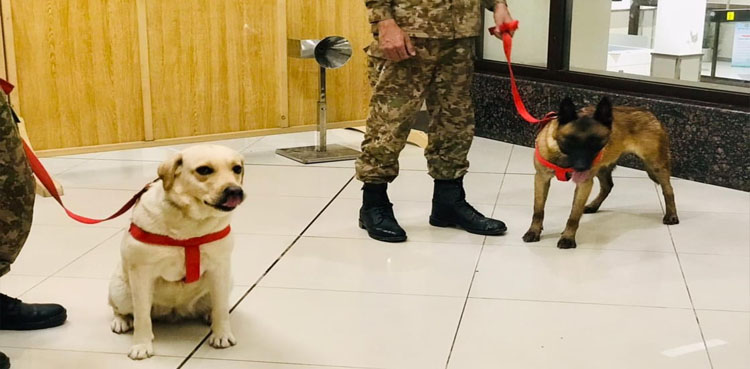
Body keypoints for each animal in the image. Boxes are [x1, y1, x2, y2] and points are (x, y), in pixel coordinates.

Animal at [108, 144, 245, 360]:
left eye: (237, 168)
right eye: (204, 170)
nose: (235, 190)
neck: (190, 223)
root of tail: (174, 311)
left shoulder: (221, 268)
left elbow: (222, 308)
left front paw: (221, 333)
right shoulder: (142, 273)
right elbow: (142, 316)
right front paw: (141, 344)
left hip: (226, 282)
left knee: (216, 304)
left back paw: (210, 315)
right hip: (120, 290)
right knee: (122, 309)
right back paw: (121, 321)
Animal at [524, 96, 680, 249]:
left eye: (596, 142)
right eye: (571, 141)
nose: (581, 167)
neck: (563, 157)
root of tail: (650, 114)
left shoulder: (584, 184)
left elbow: (574, 215)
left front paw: (568, 237)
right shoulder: (541, 179)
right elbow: (538, 210)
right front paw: (534, 231)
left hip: (655, 166)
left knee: (668, 190)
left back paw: (671, 215)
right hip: (602, 168)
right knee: (607, 186)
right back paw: (593, 205)